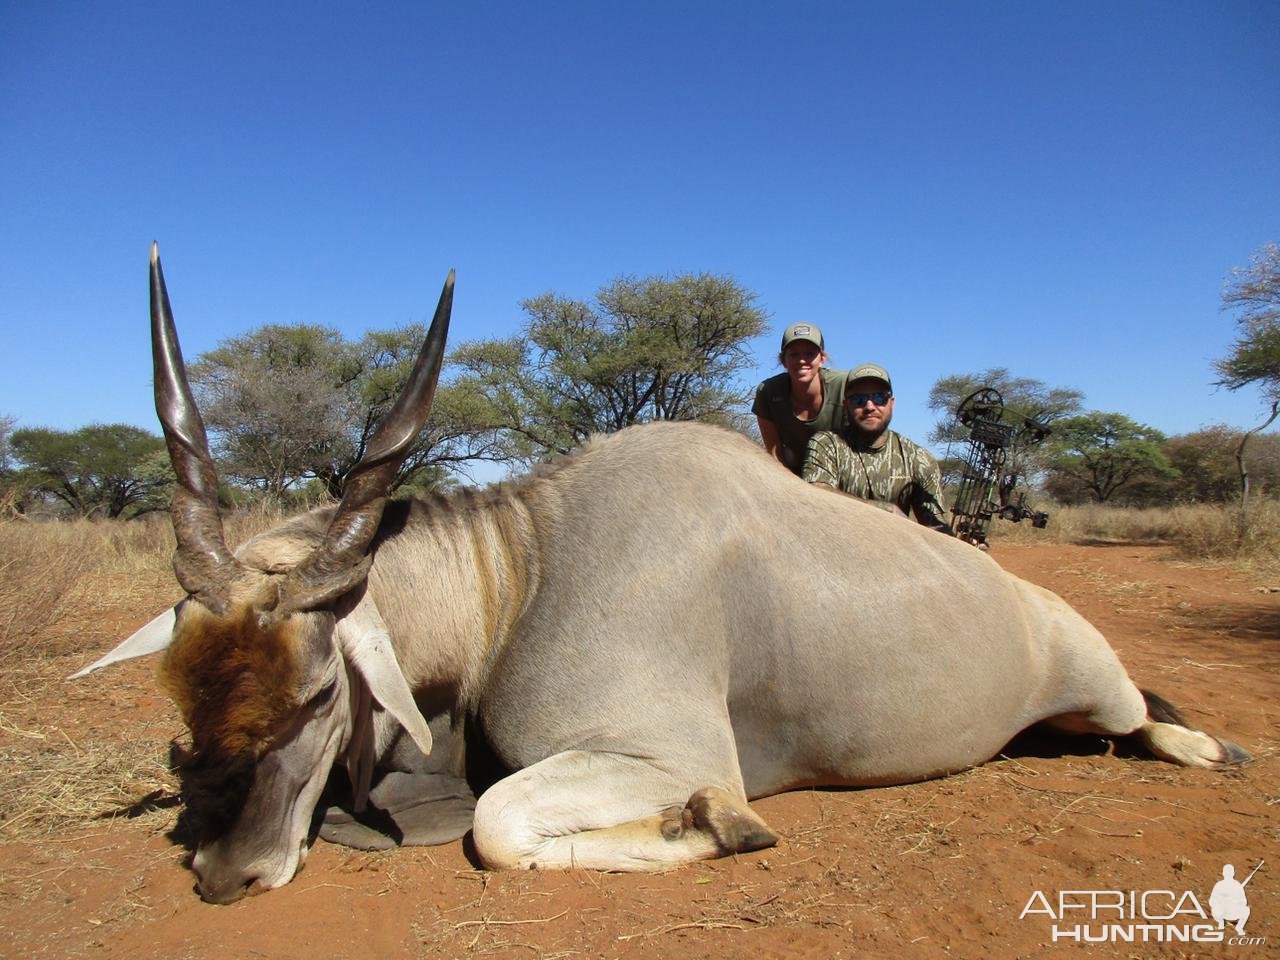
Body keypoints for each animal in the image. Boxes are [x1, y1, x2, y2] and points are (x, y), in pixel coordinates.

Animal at [74, 245, 1244, 901]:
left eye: (320, 694)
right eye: (179, 696)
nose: (227, 877)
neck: (525, 568)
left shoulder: (666, 754)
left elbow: (501, 825)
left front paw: (715, 826)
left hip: (1097, 691)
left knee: (1146, 722)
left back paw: (1210, 748)